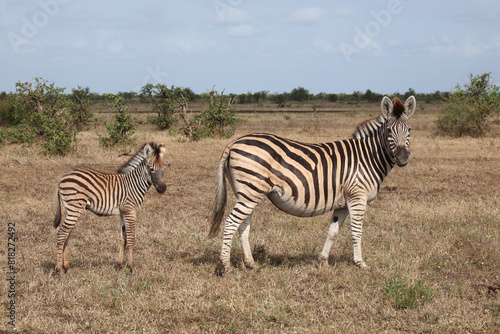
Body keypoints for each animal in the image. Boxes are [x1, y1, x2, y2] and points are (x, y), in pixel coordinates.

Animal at [52, 142, 167, 272]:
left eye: (164, 169)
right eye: (152, 169)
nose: (163, 189)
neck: (134, 184)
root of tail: (63, 176)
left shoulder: (123, 213)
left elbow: (123, 238)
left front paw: (120, 265)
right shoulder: (130, 211)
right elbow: (131, 238)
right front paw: (131, 267)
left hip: (71, 209)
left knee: (67, 234)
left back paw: (66, 266)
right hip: (75, 207)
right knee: (62, 233)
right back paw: (58, 268)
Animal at [209, 95, 416, 276]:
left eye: (409, 130)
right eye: (389, 131)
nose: (403, 158)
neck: (368, 157)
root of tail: (235, 141)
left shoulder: (343, 203)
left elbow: (332, 232)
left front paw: (322, 261)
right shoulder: (358, 197)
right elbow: (357, 232)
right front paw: (361, 264)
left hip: (246, 193)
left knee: (242, 226)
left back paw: (251, 264)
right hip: (250, 191)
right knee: (231, 223)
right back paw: (226, 266)